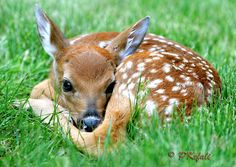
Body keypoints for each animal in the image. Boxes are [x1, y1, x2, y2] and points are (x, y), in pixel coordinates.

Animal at [24, 6, 221, 155]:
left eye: (110, 85)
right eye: (67, 84)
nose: (90, 121)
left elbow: (37, 88)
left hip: (132, 75)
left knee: (105, 140)